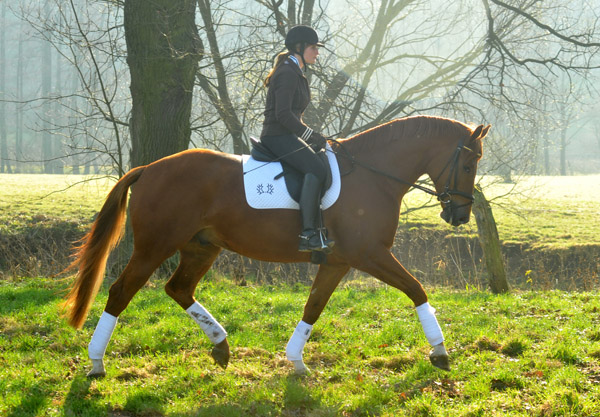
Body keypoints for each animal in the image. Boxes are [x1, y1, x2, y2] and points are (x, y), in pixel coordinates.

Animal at [63, 115, 490, 376]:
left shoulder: (337, 261)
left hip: (202, 247)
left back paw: (221, 346)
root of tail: (149, 168)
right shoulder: (370, 254)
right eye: (469, 165)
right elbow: (417, 289)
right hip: (154, 247)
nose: (459, 216)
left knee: (178, 288)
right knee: (121, 292)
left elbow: (313, 306)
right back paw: (97, 363)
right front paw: (440, 352)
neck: (373, 175)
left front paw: (296, 362)